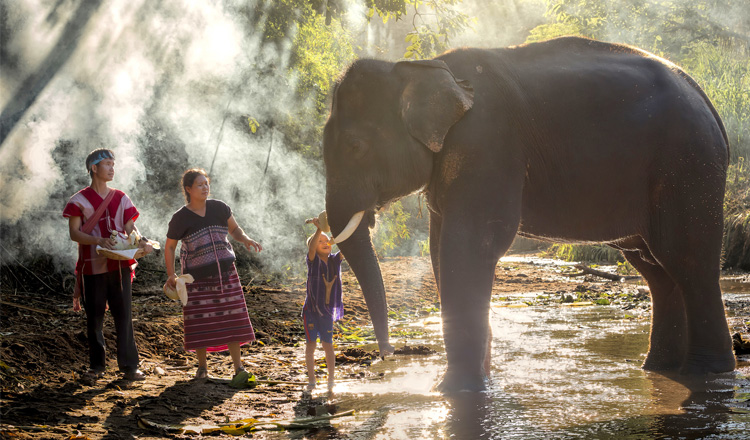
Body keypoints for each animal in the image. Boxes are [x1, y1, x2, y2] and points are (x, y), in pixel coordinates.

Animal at [322, 35, 736, 392]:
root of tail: (708, 101)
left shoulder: (486, 141)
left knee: (688, 262)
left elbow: (472, 245)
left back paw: (707, 374)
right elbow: (439, 249)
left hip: (688, 166)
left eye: (356, 147)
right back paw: (658, 369)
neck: (421, 67)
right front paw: (474, 383)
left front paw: (455, 392)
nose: (388, 356)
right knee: (655, 269)